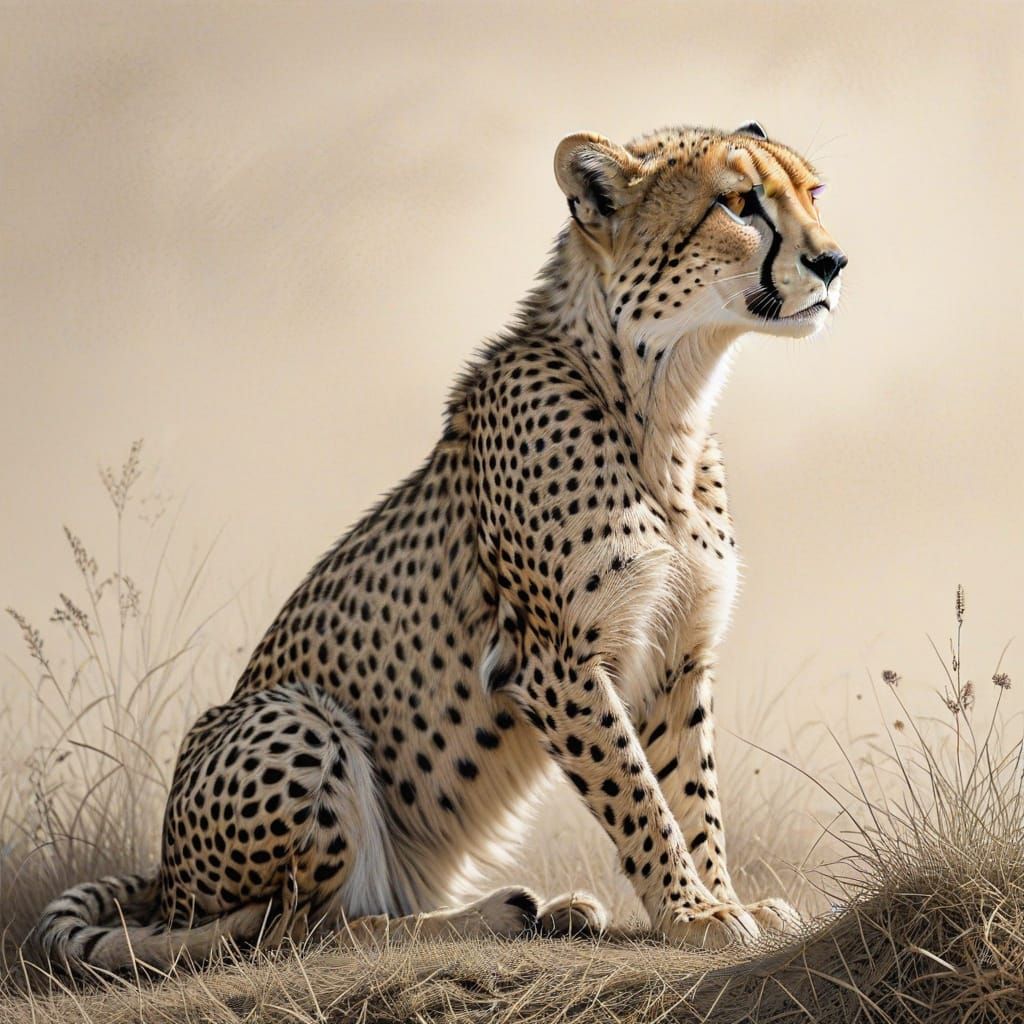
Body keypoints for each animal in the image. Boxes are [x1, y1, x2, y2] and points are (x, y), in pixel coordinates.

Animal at [35, 121, 846, 975]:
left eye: (812, 193)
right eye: (738, 203)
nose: (834, 261)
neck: (664, 400)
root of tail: (164, 879)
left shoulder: (677, 654)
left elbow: (692, 791)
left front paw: (722, 899)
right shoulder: (553, 659)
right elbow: (636, 791)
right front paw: (692, 912)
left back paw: (542, 911)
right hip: (297, 715)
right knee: (292, 931)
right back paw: (497, 914)